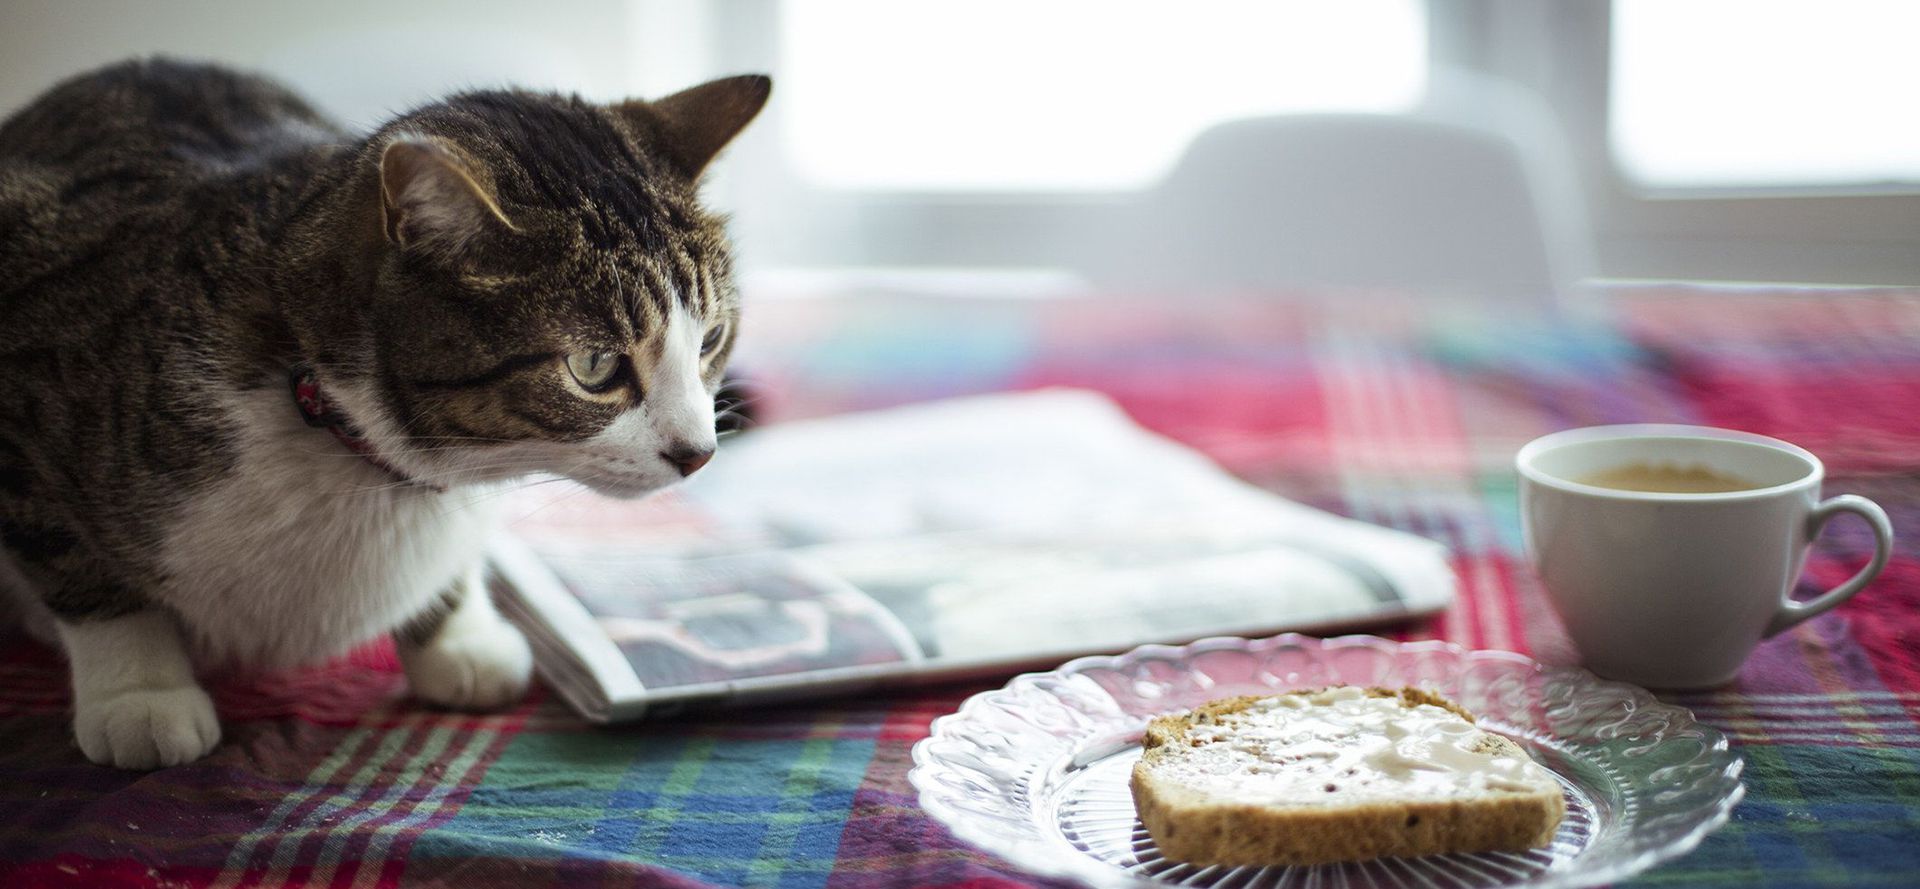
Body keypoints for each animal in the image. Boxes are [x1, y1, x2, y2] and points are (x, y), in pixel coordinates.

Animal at [1, 60, 764, 771]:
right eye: (595, 366)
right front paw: (140, 693)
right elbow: (79, 566)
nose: (699, 452)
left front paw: (457, 638)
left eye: (711, 339)